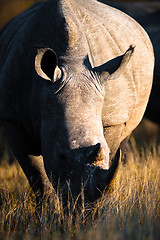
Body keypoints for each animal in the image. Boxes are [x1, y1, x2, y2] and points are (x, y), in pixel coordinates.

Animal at [0, 0, 154, 203]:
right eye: (61, 156)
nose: (84, 204)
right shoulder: (12, 116)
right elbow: (37, 175)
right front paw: (48, 209)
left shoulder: (114, 118)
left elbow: (111, 151)